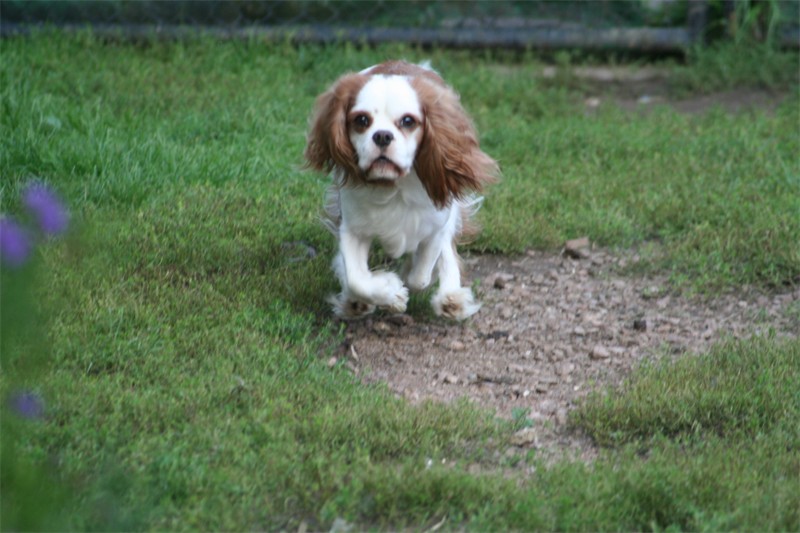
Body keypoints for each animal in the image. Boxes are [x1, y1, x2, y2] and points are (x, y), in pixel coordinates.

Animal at [304, 62, 496, 320]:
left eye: (408, 121)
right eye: (361, 120)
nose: (382, 135)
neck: (393, 185)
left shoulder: (436, 225)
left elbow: (420, 276)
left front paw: (406, 277)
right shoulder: (352, 229)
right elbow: (357, 279)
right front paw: (389, 292)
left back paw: (450, 299)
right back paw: (354, 302)